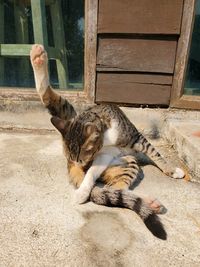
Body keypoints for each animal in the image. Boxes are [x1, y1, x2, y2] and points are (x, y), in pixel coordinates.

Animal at [29, 44, 184, 241]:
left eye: (84, 159)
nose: (82, 166)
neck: (106, 135)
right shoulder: (104, 154)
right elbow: (92, 174)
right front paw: (82, 191)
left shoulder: (133, 139)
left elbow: (157, 155)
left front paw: (171, 170)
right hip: (125, 161)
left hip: (125, 161)